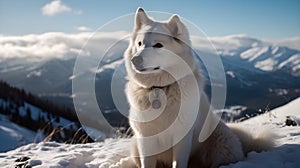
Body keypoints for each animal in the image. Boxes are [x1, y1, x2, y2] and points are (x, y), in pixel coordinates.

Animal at [123, 7, 274, 167]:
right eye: (140, 43)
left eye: (158, 45)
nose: (135, 60)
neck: (159, 88)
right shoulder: (145, 140)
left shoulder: (182, 139)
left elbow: (179, 163)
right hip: (134, 146)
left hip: (221, 142)